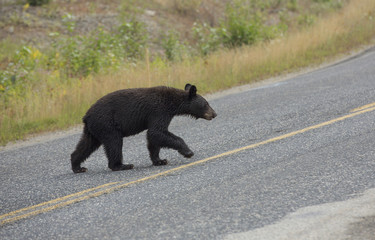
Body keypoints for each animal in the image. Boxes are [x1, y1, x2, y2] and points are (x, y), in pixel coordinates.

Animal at [70, 83, 217, 173]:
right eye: (206, 104)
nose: (214, 114)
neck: (172, 103)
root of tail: (86, 116)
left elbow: (153, 138)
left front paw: (159, 160)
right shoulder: (159, 110)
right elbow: (157, 132)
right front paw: (188, 152)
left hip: (94, 129)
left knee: (86, 145)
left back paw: (77, 166)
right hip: (107, 125)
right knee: (114, 143)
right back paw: (121, 165)